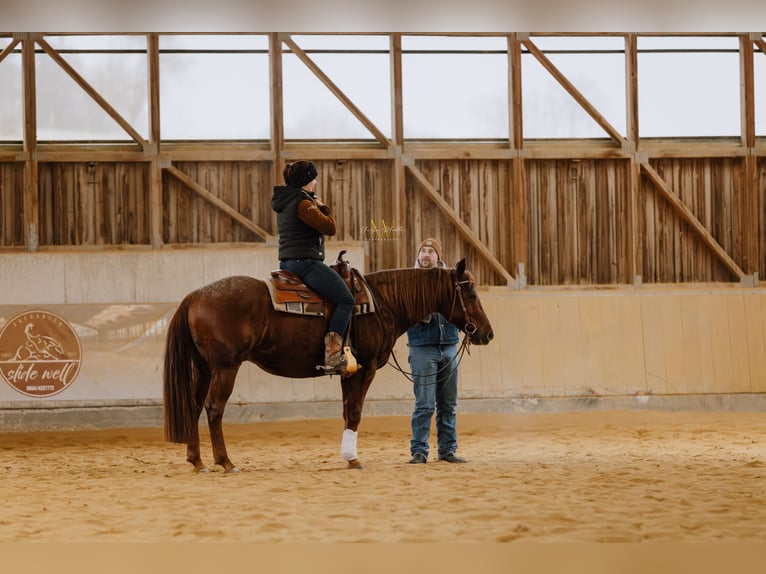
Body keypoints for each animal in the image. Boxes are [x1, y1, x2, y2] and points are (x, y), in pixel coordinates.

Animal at [164, 258, 496, 474]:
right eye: (470, 293)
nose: (487, 333)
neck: (381, 303)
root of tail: (195, 295)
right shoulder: (365, 368)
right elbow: (356, 412)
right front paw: (353, 458)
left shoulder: (347, 372)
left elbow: (348, 410)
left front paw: (348, 456)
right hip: (225, 366)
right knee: (214, 408)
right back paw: (225, 462)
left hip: (204, 367)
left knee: (193, 405)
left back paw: (197, 461)